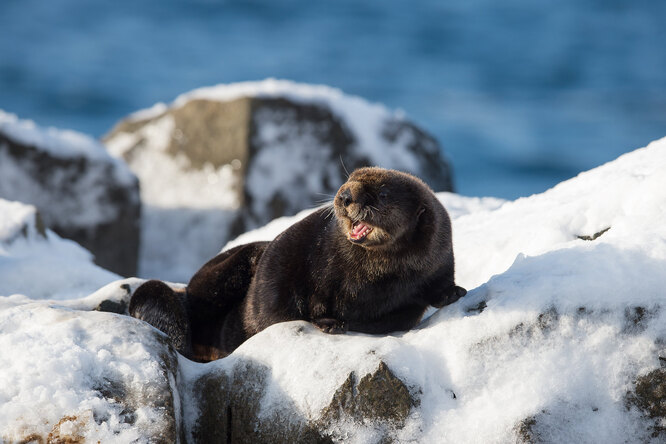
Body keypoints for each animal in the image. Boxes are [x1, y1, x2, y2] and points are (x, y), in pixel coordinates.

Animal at [128, 168, 462, 362]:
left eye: (382, 193)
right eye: (348, 179)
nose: (345, 195)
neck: (379, 275)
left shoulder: (437, 261)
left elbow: (438, 286)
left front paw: (453, 293)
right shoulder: (319, 262)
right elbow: (309, 294)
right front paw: (330, 322)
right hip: (217, 277)